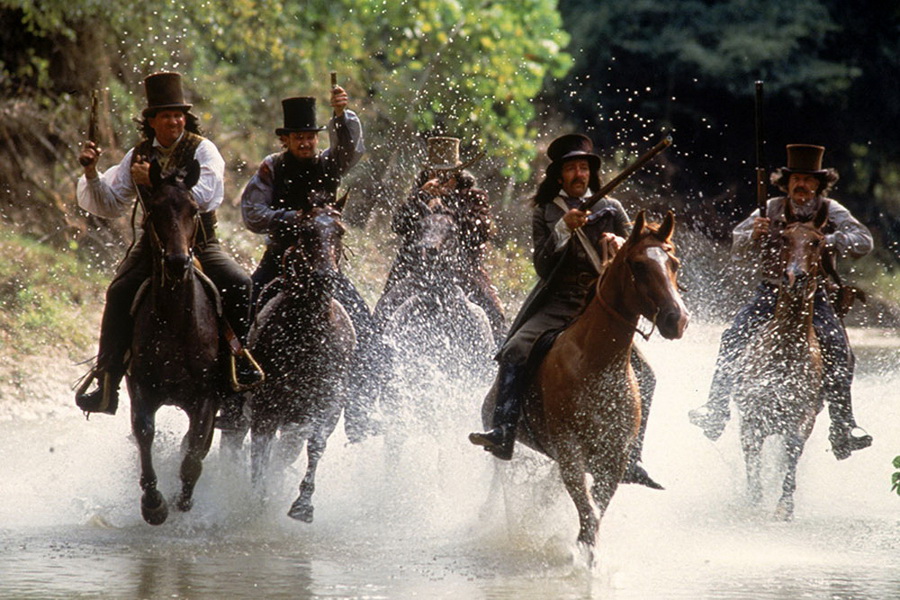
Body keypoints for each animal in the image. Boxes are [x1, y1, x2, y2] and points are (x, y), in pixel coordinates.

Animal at [127, 159, 228, 525]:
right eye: (154, 209)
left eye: (194, 209)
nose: (176, 262)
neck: (175, 323)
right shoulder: (141, 386)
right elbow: (144, 432)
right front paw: (153, 503)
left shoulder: (207, 397)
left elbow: (193, 453)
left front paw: (182, 500)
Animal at [245, 201, 356, 522]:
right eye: (306, 230)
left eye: (340, 231)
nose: (325, 276)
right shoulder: (265, 408)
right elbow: (260, 449)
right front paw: (259, 498)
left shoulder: (327, 403)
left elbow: (315, 444)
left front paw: (303, 504)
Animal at [732, 201, 829, 520]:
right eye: (785, 238)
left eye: (817, 241)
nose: (796, 277)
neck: (785, 350)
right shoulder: (752, 413)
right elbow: (751, 449)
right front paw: (754, 498)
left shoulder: (803, 415)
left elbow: (793, 448)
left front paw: (784, 505)